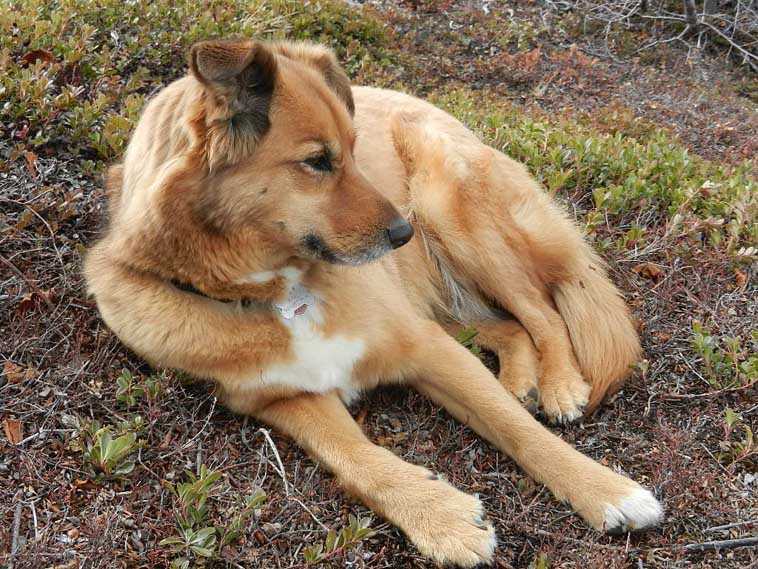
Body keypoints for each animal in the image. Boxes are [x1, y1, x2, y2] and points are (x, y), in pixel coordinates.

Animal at [84, 38, 664, 564]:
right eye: (318, 161)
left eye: (353, 150)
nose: (403, 233)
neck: (279, 293)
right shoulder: (283, 400)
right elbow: (359, 457)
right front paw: (443, 519)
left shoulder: (426, 346)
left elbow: (520, 431)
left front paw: (607, 491)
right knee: (510, 327)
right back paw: (522, 378)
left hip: (451, 210)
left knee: (541, 311)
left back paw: (561, 384)